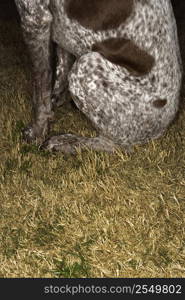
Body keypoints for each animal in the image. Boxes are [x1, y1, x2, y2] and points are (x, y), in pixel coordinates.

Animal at [14, 0, 182, 154]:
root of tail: (165, 124)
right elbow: (60, 67)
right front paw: (55, 100)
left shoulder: (35, 16)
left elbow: (40, 87)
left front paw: (36, 132)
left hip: (84, 67)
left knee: (117, 146)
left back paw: (65, 143)